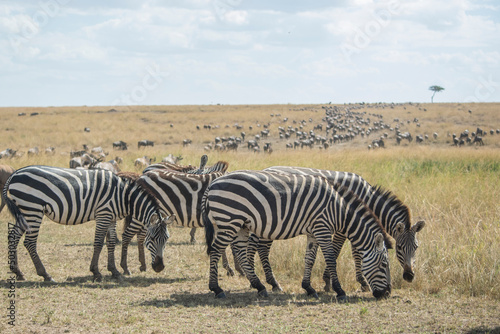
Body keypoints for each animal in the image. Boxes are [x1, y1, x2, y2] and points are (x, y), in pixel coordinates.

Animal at [2, 164, 173, 282]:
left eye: (166, 239)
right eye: (151, 239)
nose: (160, 267)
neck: (124, 197)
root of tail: (15, 173)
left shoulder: (111, 218)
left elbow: (111, 242)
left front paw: (114, 271)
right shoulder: (104, 215)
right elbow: (98, 243)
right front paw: (96, 272)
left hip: (24, 211)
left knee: (13, 237)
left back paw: (18, 272)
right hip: (33, 209)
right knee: (30, 242)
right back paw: (45, 274)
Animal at [202, 171, 390, 302]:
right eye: (384, 264)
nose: (387, 293)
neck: (339, 210)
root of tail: (212, 183)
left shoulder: (313, 232)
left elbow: (310, 259)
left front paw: (309, 288)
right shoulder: (322, 228)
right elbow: (330, 259)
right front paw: (339, 291)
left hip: (240, 224)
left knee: (240, 253)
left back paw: (259, 286)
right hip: (229, 220)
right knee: (216, 250)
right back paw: (217, 289)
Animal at [262, 167, 426, 292]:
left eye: (416, 247)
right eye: (399, 247)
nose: (410, 276)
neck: (367, 198)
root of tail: (267, 169)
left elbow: (356, 252)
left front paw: (360, 281)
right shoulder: (344, 226)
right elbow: (338, 251)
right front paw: (330, 281)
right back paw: (272, 283)